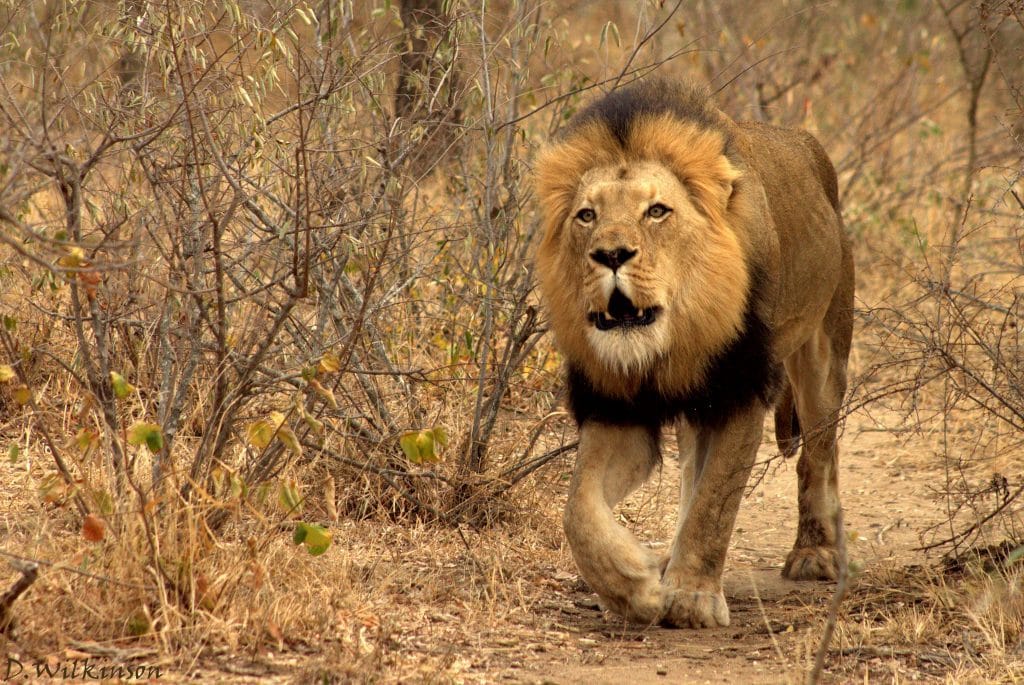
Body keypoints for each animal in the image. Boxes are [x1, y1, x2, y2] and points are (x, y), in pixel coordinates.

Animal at [532, 78, 851, 626]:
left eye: (657, 211)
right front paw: (634, 585)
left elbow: (714, 504)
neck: (666, 345)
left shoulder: (739, 392)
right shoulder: (616, 407)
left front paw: (692, 599)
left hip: (823, 355)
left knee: (818, 452)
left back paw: (815, 552)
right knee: (689, 474)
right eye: (587, 215)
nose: (610, 254)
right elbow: (580, 512)